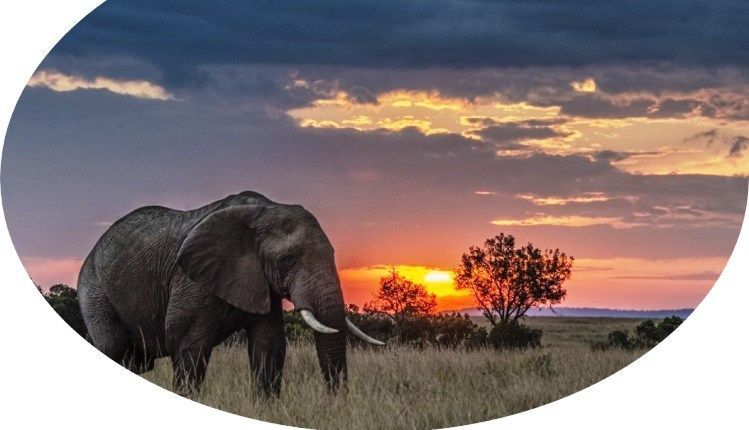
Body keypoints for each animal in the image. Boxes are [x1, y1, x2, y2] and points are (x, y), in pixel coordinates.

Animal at [77, 191, 383, 396]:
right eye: (288, 259)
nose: (335, 403)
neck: (264, 210)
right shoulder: (192, 279)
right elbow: (188, 343)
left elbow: (268, 344)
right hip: (94, 293)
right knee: (112, 346)